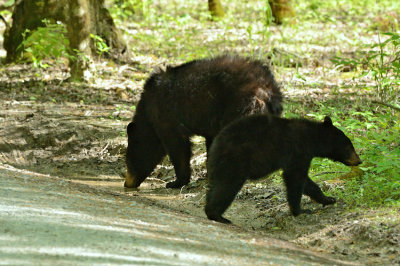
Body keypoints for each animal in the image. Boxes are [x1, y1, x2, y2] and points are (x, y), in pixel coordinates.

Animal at [125, 55, 282, 189]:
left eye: (128, 162)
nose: (127, 183)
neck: (147, 111)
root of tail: (267, 88)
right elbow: (211, 143)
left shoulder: (166, 117)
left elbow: (178, 147)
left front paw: (176, 182)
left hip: (242, 105)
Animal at [205, 115, 360, 223]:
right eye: (349, 147)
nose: (360, 160)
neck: (311, 138)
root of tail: (216, 144)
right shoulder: (298, 151)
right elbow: (295, 178)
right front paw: (300, 211)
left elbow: (306, 182)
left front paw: (328, 199)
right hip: (235, 161)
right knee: (227, 186)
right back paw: (217, 215)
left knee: (214, 186)